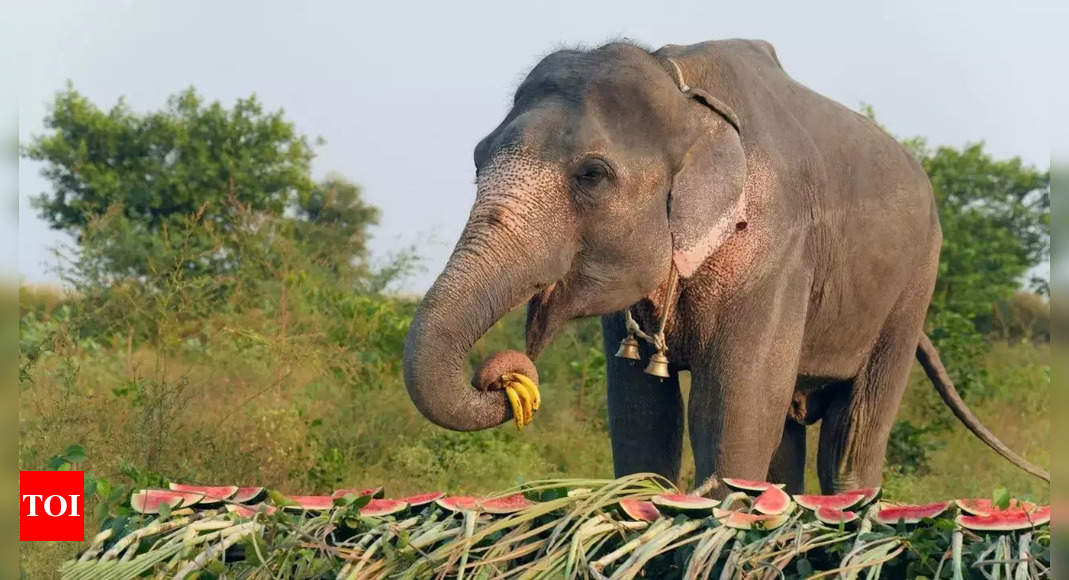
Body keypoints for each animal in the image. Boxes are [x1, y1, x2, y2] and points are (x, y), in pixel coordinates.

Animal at [399, 38, 1043, 493]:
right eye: (477, 157)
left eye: (592, 175)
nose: (506, 377)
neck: (679, 84)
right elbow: (642, 417)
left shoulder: (776, 244)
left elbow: (732, 416)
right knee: (787, 439)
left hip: (913, 287)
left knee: (851, 440)